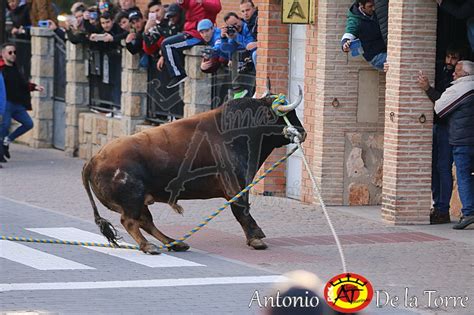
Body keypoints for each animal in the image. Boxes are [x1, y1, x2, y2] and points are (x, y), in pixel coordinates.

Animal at [81, 87, 304, 256]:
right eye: (286, 115)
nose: (303, 132)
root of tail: (93, 159)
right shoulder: (236, 186)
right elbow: (242, 211)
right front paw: (256, 239)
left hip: (139, 201)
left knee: (145, 221)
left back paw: (175, 243)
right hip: (132, 200)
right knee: (130, 221)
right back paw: (150, 246)